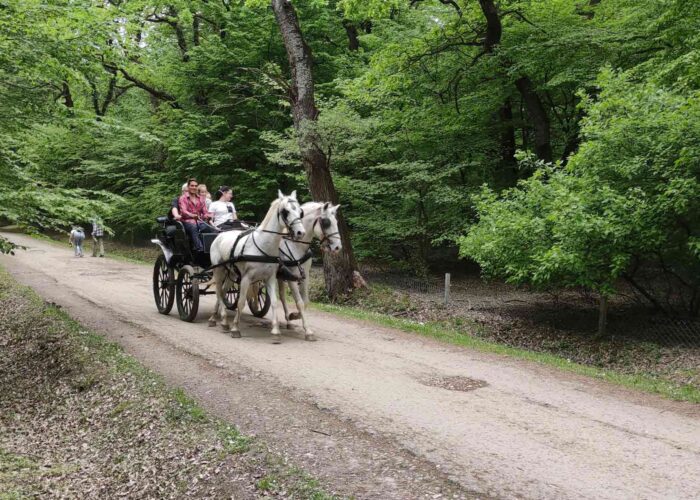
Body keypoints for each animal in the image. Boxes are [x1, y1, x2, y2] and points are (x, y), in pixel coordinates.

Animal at [208, 189, 306, 342]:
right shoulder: (246, 278)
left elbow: (274, 302)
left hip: (231, 273)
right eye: (286, 211)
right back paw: (220, 318)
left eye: (300, 211)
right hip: (218, 270)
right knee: (218, 291)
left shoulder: (270, 278)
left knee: (223, 292)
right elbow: (241, 302)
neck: (263, 245)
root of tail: (220, 235)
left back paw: (219, 319)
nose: (300, 232)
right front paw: (235, 328)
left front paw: (276, 331)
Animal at [276, 201, 342, 342]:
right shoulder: (291, 277)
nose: (338, 247)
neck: (295, 245)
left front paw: (294, 316)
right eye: (326, 222)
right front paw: (308, 331)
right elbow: (300, 303)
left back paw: (288, 321)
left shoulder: (305, 275)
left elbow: (306, 302)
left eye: (336, 221)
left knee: (282, 295)